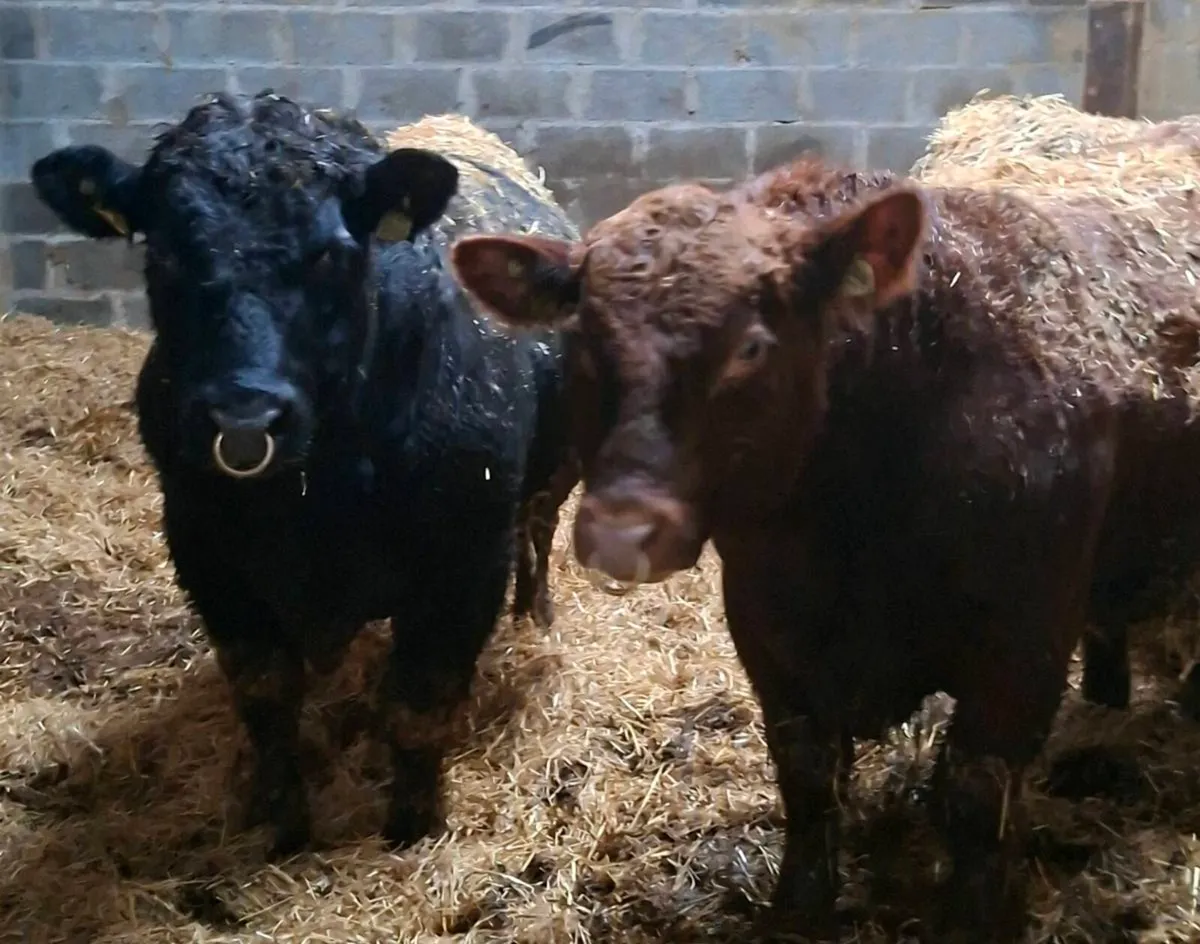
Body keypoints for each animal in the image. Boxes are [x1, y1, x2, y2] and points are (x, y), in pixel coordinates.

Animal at [29, 90, 579, 857]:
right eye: (164, 251)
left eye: (333, 253)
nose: (244, 417)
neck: (322, 494)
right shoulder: (206, 555)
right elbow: (267, 699)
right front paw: (284, 825)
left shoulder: (464, 564)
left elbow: (419, 707)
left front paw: (411, 830)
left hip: (553, 480)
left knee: (540, 532)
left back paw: (536, 615)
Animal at [446, 157, 1200, 941]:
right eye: (582, 344)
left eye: (752, 346)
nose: (623, 533)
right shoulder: (766, 623)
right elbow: (807, 779)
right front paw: (797, 912)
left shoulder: (1025, 639)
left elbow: (976, 794)